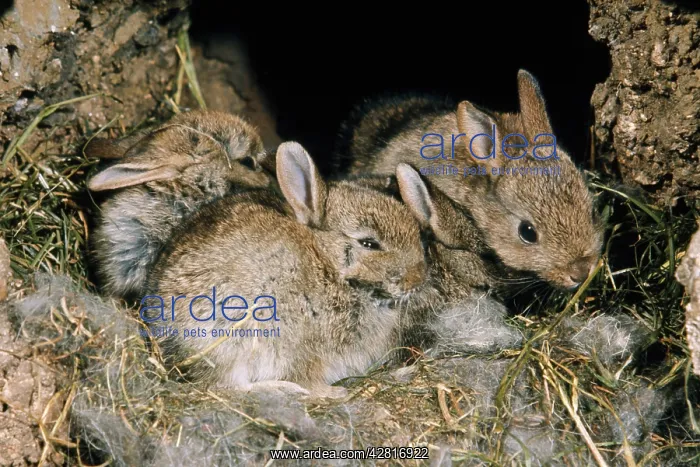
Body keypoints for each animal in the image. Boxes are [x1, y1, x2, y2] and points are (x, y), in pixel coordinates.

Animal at [142, 141, 432, 399]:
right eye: (369, 243)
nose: (418, 279)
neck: (328, 263)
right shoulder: (304, 348)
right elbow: (306, 374)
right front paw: (333, 393)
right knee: (223, 385)